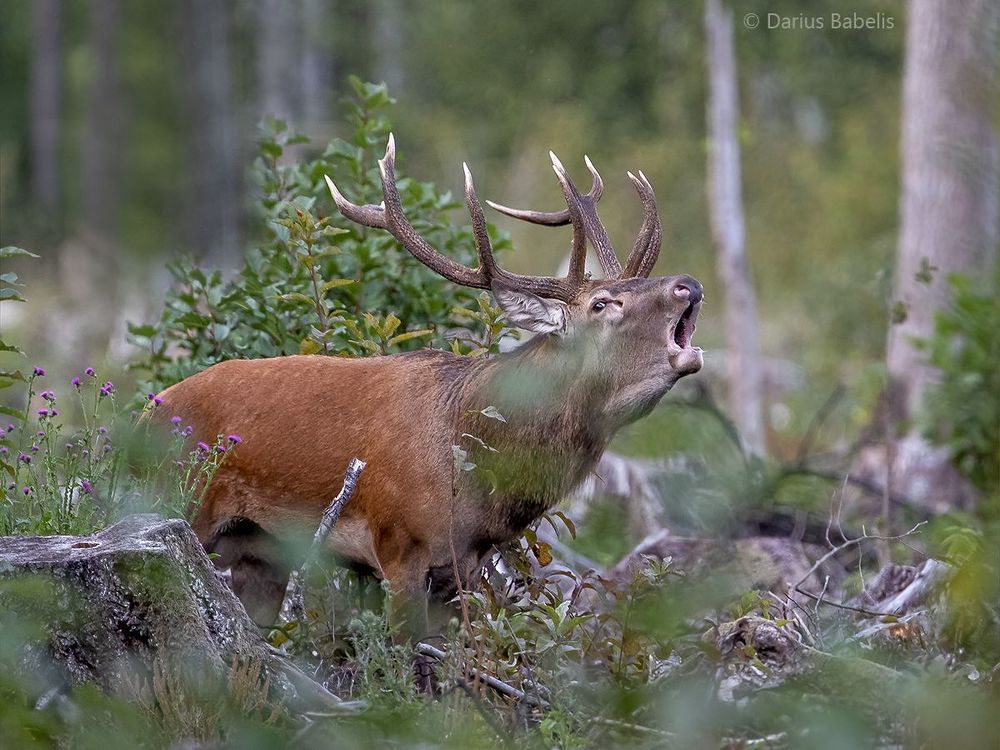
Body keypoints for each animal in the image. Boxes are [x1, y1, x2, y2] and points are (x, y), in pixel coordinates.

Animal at [153, 134, 704, 642]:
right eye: (602, 303)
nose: (689, 284)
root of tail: (145, 411)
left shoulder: (462, 569)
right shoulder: (398, 545)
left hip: (260, 554)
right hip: (176, 503)